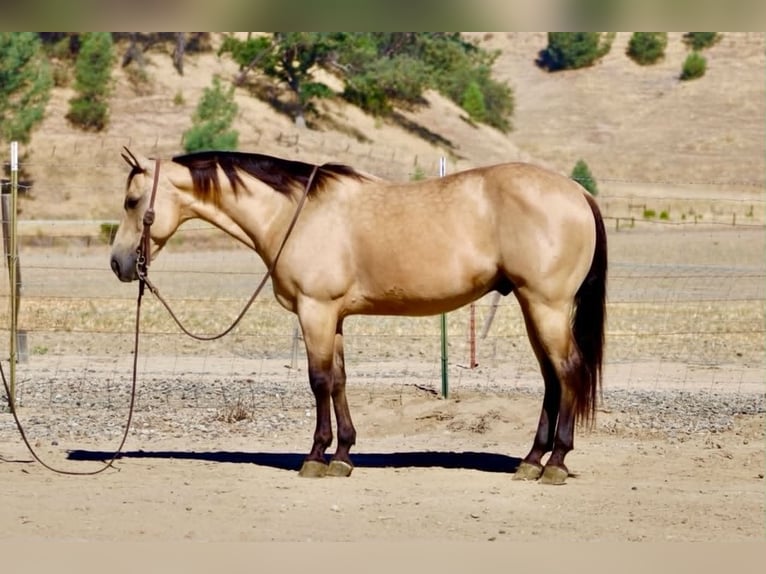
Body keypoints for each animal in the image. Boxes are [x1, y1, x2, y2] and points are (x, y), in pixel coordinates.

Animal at [110, 148, 607, 485]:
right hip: (531, 305)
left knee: (568, 371)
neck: (295, 214)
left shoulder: (315, 310)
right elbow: (339, 380)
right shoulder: (334, 317)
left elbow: (318, 381)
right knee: (551, 379)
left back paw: (555, 462)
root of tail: (577, 191)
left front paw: (315, 457)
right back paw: (531, 461)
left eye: (132, 201)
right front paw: (344, 455)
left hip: (546, 305)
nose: (118, 263)